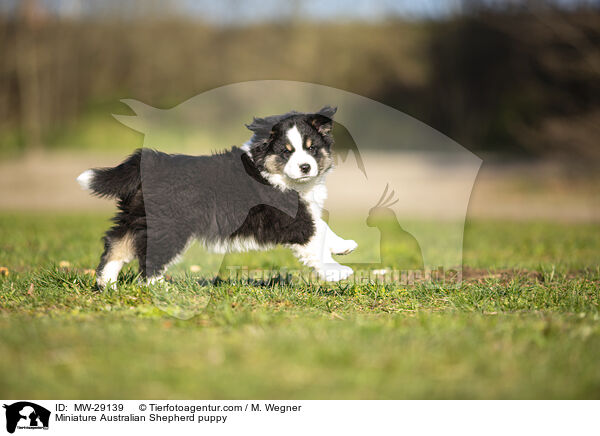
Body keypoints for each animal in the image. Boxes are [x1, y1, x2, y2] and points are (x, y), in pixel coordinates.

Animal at [75, 106, 356, 290]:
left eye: (311, 148)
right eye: (286, 152)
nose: (306, 167)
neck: (270, 172)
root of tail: (149, 161)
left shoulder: (304, 210)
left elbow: (322, 226)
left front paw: (343, 245)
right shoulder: (291, 219)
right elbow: (314, 238)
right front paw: (337, 272)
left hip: (136, 217)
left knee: (116, 243)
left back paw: (107, 284)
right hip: (170, 226)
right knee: (149, 257)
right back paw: (161, 289)